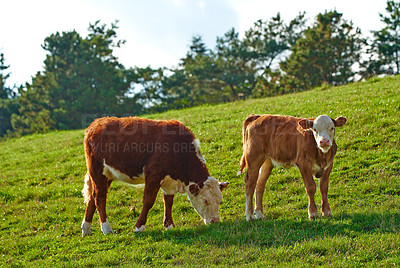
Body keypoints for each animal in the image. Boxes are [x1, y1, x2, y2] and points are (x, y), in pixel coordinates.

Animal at [81, 116, 228, 236]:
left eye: (220, 201)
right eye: (205, 200)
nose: (215, 221)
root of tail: (96, 123)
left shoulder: (169, 182)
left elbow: (168, 202)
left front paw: (169, 225)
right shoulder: (153, 175)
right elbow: (148, 201)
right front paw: (139, 227)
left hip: (107, 175)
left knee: (93, 196)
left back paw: (86, 229)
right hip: (97, 170)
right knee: (100, 197)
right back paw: (106, 228)